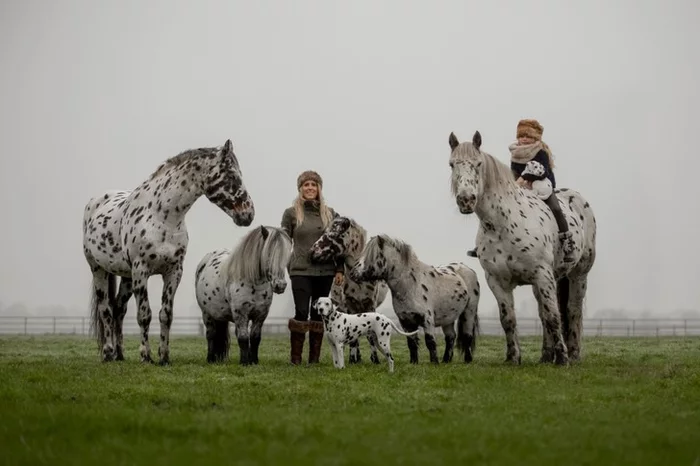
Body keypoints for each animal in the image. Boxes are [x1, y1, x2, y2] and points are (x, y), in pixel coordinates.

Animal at [82, 138, 254, 364]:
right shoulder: (141, 271)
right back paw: (108, 353)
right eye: (232, 175)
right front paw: (146, 356)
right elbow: (144, 315)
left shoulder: (173, 272)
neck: (162, 217)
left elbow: (166, 315)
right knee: (106, 311)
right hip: (98, 269)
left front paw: (164, 356)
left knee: (119, 309)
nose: (249, 214)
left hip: (126, 276)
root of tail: (95, 203)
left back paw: (119, 354)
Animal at [193, 225, 292, 364]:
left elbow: (255, 338)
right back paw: (210, 359)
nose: (280, 285)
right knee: (211, 335)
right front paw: (245, 362)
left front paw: (253, 361)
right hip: (207, 314)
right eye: (268, 254)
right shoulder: (241, 313)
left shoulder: (260, 315)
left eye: (285, 256)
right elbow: (244, 338)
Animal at [308, 215, 392, 364]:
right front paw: (353, 359)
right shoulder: (349, 304)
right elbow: (353, 339)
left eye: (334, 234)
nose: (312, 252)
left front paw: (375, 359)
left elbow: (370, 336)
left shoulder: (370, 305)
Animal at [350, 233, 482, 364]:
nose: (352, 273)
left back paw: (467, 360)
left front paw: (434, 363)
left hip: (469, 312)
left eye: (371, 255)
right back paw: (446, 360)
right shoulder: (406, 321)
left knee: (467, 335)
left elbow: (430, 342)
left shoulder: (427, 320)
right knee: (450, 337)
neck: (411, 285)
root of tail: (467, 269)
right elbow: (411, 343)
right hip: (448, 317)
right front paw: (414, 362)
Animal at [448, 129, 596, 366]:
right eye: (452, 164)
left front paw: (563, 358)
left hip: (578, 275)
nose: (466, 200)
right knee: (543, 314)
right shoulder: (497, 281)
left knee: (572, 311)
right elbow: (509, 319)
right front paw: (513, 357)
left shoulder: (543, 275)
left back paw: (572, 355)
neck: (503, 223)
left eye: (478, 164)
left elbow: (554, 316)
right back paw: (546, 356)